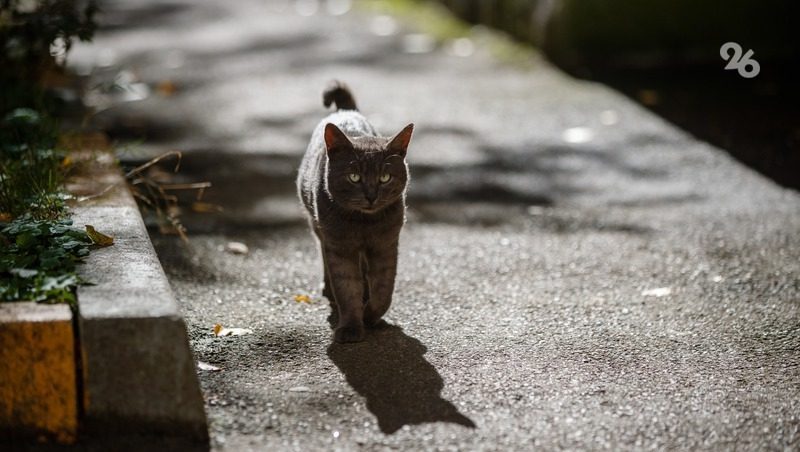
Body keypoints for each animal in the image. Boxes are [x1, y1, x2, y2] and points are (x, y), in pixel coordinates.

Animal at [298, 82, 416, 342]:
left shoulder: (386, 245)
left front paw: (371, 316)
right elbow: (346, 288)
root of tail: (345, 111)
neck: (364, 224)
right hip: (317, 227)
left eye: (385, 177)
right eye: (354, 177)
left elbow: (384, 289)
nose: (371, 196)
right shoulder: (339, 248)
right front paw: (351, 327)